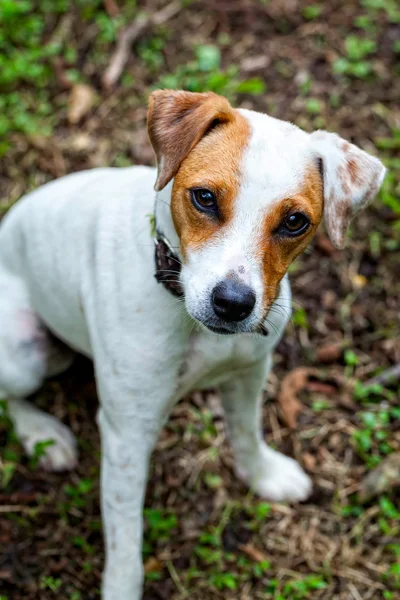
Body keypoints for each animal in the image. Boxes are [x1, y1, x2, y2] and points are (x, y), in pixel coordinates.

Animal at [0, 91, 384, 596]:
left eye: (295, 222)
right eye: (204, 197)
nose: (233, 304)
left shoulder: (249, 374)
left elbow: (246, 432)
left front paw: (262, 475)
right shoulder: (127, 435)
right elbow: (125, 541)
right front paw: (122, 589)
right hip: (23, 355)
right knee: (11, 398)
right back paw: (42, 433)